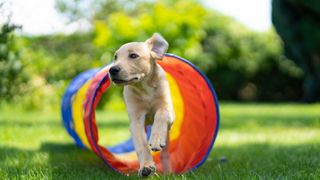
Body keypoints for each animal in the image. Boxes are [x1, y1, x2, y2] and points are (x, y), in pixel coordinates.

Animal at [110, 33, 175, 176]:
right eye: (115, 57)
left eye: (133, 55)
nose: (112, 69)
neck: (145, 88)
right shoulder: (136, 120)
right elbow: (141, 144)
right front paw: (146, 167)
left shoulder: (167, 109)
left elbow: (161, 114)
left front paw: (156, 139)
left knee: (165, 154)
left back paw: (169, 171)